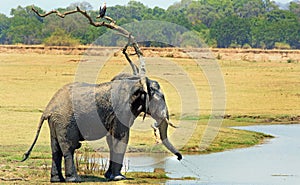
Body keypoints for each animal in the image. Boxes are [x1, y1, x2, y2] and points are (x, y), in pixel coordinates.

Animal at [21, 73, 183, 183]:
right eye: (162, 97)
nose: (179, 157)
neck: (137, 81)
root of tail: (48, 109)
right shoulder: (121, 110)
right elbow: (121, 138)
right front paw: (119, 178)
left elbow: (111, 139)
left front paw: (109, 176)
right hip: (65, 121)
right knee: (69, 148)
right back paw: (75, 180)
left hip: (56, 122)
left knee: (55, 149)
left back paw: (57, 180)